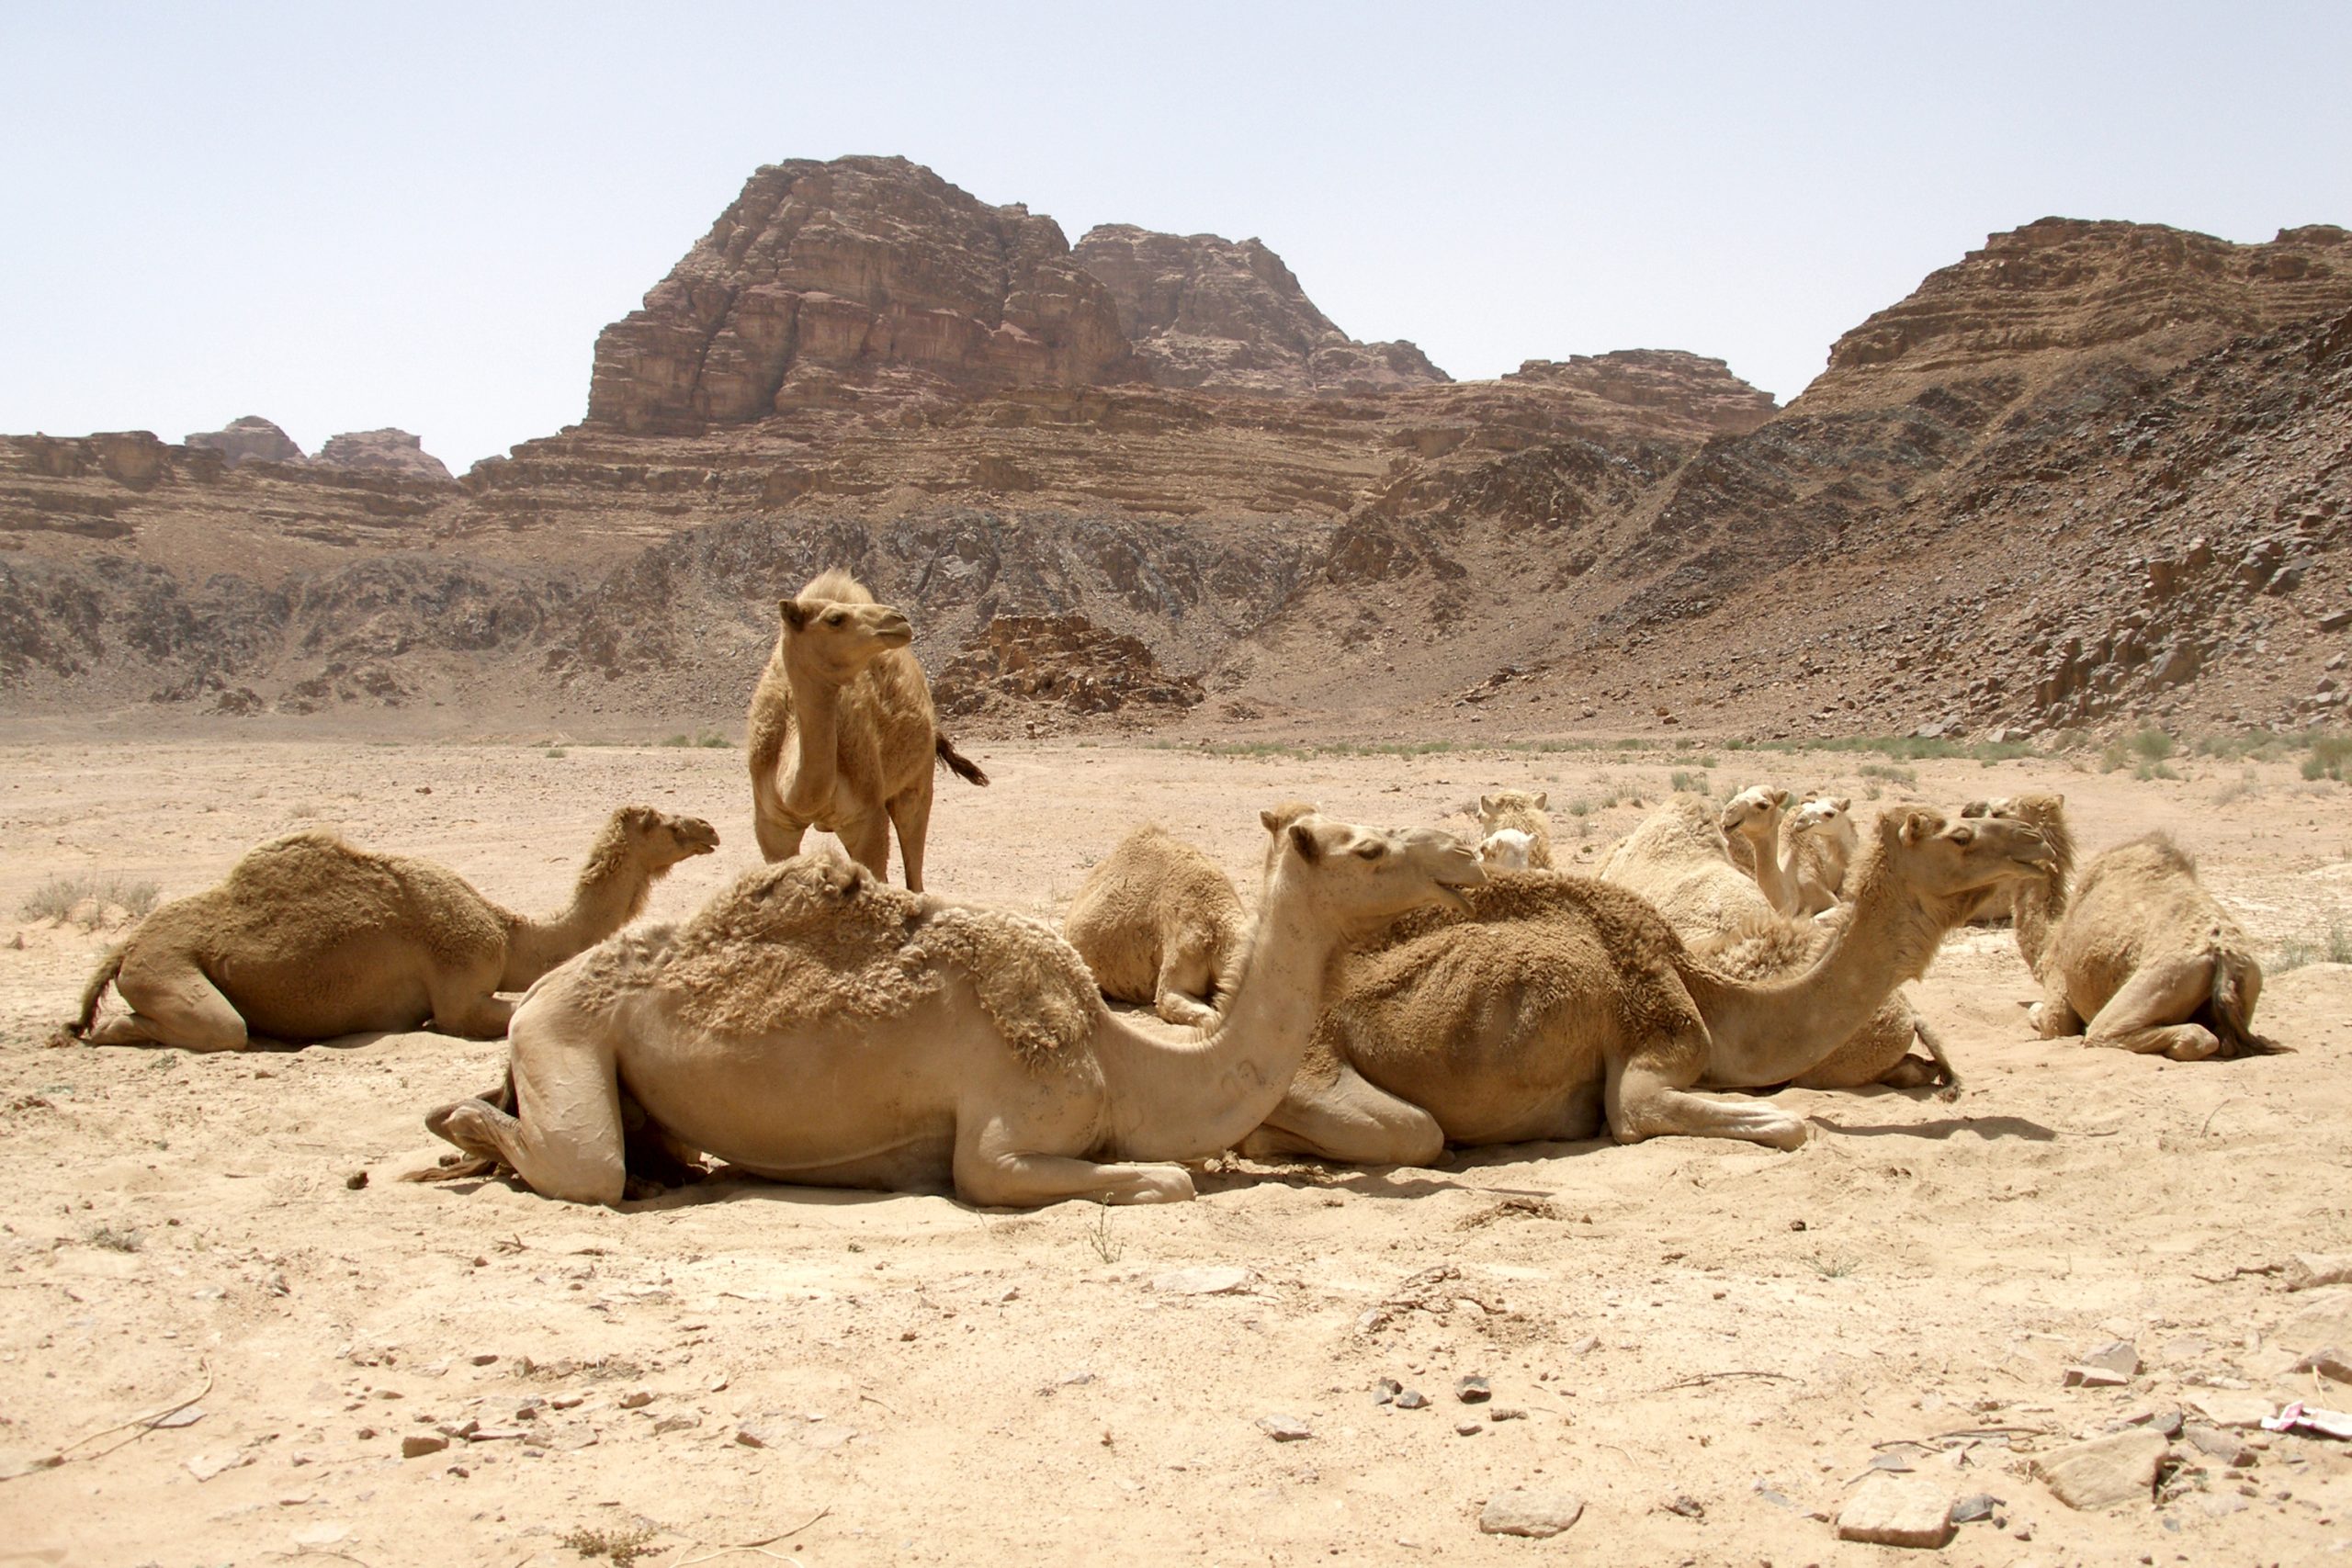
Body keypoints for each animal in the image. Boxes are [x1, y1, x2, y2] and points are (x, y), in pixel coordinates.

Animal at [62, 808, 718, 1051]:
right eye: (664, 823)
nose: (709, 829)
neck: (507, 933)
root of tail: (125, 946)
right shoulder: (460, 988)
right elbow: (481, 1016)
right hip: (168, 967)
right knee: (218, 1026)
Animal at [745, 568, 988, 891]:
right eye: (835, 619)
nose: (898, 619)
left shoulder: (867, 818)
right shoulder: (773, 828)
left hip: (916, 782)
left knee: (914, 866)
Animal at [1240, 807, 2054, 1164]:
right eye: (1961, 834)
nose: (2038, 843)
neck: (1710, 990)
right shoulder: (1655, 1050)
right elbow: (1787, 1123)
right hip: (1315, 1069)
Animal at [1966, 793, 2277, 1060]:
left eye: (1998, 812)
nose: (1967, 811)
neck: (2051, 941)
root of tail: (2222, 951)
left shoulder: (2058, 1004)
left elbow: (2040, 1015)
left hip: (2159, 982)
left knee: (2118, 1032)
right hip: (2250, 979)